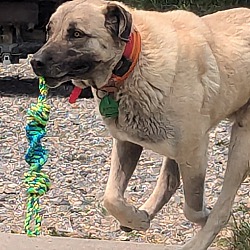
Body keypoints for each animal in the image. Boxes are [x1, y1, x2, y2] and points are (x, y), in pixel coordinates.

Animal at [30, 0, 250, 249]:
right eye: (49, 31)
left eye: (76, 34)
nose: (35, 61)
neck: (132, 64)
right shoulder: (127, 144)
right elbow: (111, 198)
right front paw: (136, 219)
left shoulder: (193, 153)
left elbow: (193, 207)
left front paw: (203, 215)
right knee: (170, 182)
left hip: (240, 146)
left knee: (222, 208)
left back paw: (198, 240)